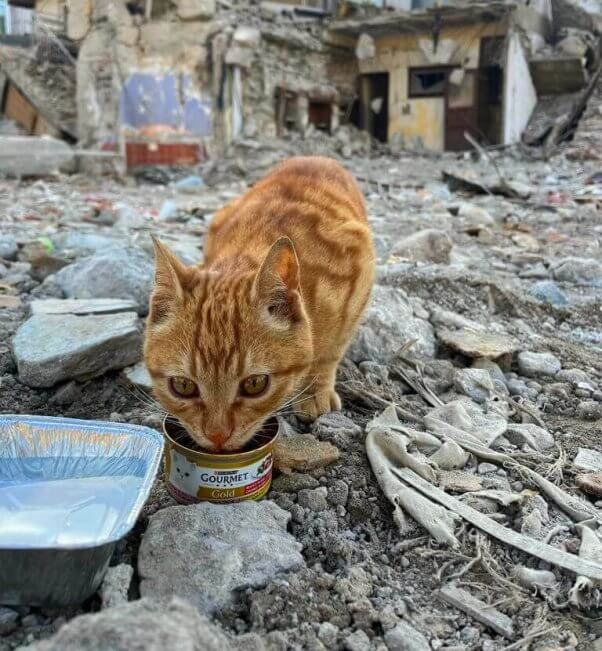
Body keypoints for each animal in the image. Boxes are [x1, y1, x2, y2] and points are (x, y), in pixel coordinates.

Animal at [143, 159, 372, 454]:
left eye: (255, 384)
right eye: (182, 386)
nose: (217, 436)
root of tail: (318, 157)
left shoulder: (360, 277)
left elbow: (330, 353)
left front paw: (315, 390)